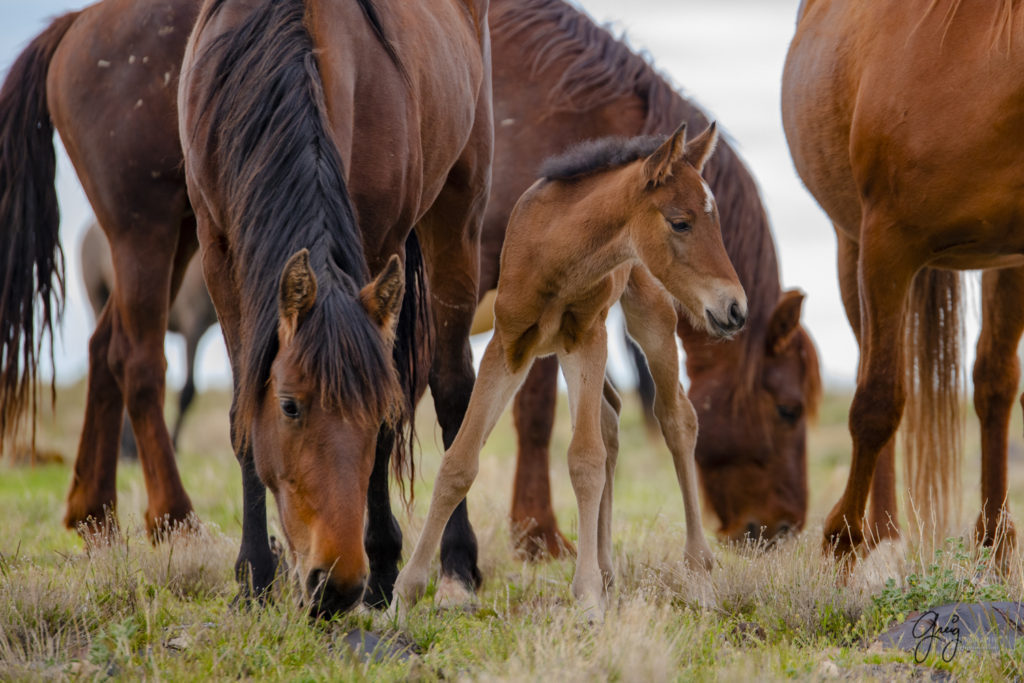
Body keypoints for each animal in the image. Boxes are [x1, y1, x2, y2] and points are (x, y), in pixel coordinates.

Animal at [395, 121, 749, 618]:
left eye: (714, 222)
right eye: (680, 222)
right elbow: (458, 462)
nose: (735, 308)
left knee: (676, 418)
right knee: (612, 417)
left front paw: (586, 597)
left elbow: (584, 459)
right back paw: (607, 568)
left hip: (649, 315)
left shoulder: (586, 338)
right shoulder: (508, 346)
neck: (556, 255)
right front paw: (405, 592)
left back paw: (697, 573)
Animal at [782, 0, 1024, 561]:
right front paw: (844, 542)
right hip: (852, 250)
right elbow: (876, 403)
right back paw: (883, 538)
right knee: (877, 375)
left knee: (992, 382)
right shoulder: (886, 247)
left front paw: (995, 549)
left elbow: (996, 385)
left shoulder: (1015, 259)